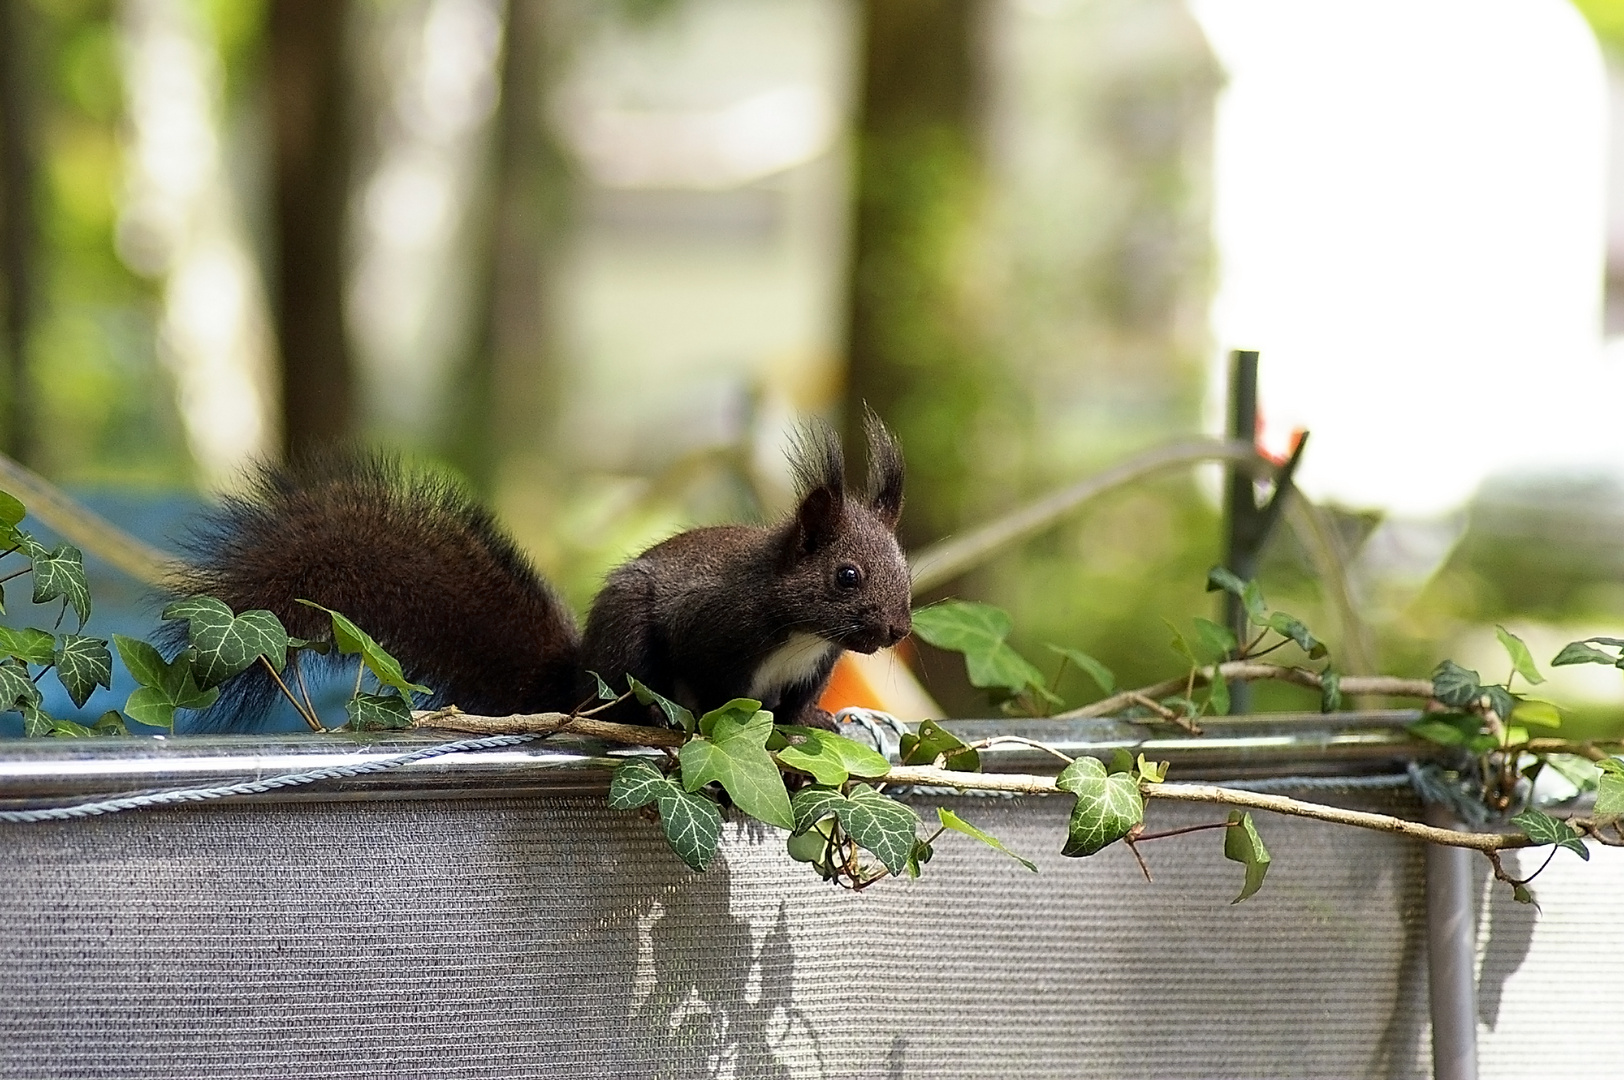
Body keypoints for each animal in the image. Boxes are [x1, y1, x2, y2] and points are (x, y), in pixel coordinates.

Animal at [179, 409, 922, 727]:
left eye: (906, 569)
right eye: (847, 576)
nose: (895, 630)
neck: (798, 629)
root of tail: (577, 684)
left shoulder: (812, 667)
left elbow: (794, 706)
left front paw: (815, 723)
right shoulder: (718, 636)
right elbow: (722, 700)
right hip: (627, 647)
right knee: (634, 698)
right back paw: (649, 720)